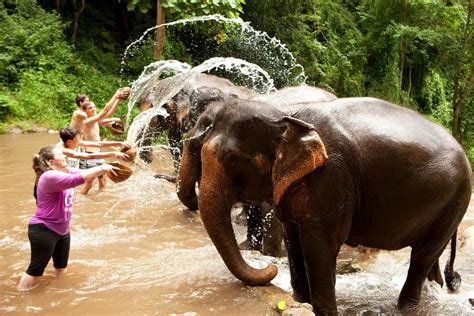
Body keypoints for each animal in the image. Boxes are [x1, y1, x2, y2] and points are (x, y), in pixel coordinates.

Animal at [177, 96, 470, 314]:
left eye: (234, 159)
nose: (269, 270)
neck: (286, 114)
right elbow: (293, 237)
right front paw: (300, 300)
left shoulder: (331, 177)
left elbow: (320, 244)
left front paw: (324, 310)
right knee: (429, 255)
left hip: (456, 200)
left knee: (423, 254)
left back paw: (405, 309)